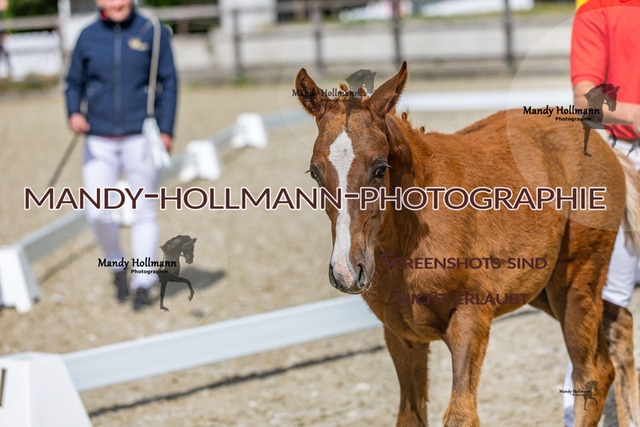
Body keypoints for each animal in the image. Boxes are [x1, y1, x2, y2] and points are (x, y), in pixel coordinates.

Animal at [295, 62, 640, 426]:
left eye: (379, 169)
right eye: (315, 173)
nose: (346, 272)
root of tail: (605, 147)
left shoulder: (470, 321)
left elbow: (461, 414)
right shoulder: (402, 336)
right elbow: (410, 416)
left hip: (575, 282)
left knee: (591, 372)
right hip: (545, 289)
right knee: (617, 328)